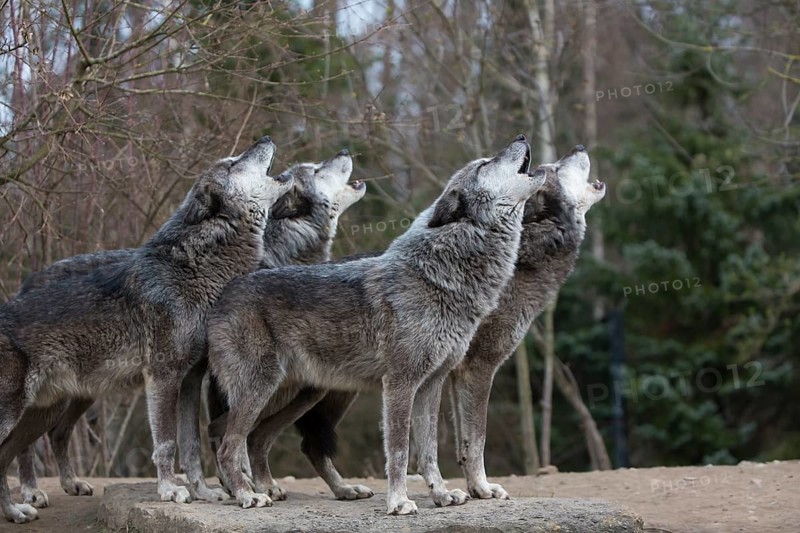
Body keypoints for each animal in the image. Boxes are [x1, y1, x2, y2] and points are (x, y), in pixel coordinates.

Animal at [12, 150, 365, 512]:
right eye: (316, 170)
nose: (344, 152)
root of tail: (31, 280)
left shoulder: (195, 375)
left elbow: (197, 439)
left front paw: (220, 487)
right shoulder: (180, 376)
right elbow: (196, 437)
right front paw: (224, 486)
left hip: (83, 390)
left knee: (56, 433)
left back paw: (70, 483)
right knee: (25, 442)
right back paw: (29, 491)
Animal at [229, 146, 604, 506]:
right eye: (556, 168)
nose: (524, 141)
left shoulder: (443, 374)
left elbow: (449, 443)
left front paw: (461, 490)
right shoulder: (471, 369)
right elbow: (468, 437)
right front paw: (459, 490)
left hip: (310, 391)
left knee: (265, 437)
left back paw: (312, 488)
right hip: (296, 390)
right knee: (237, 433)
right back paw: (245, 491)